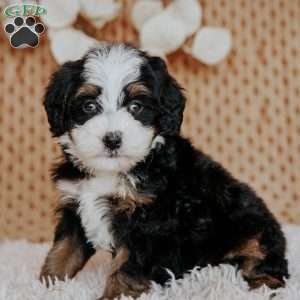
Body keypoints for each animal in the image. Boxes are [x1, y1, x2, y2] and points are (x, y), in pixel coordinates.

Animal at [39, 42, 288, 300]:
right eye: (89, 106)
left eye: (136, 107)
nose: (112, 139)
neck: (111, 171)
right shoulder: (75, 206)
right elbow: (63, 250)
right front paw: (49, 285)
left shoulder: (147, 222)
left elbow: (127, 265)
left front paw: (116, 295)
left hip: (252, 226)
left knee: (265, 262)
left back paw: (260, 286)